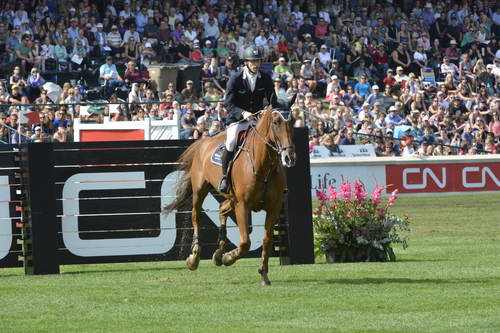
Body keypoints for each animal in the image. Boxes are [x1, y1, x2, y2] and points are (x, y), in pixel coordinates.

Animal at [164, 107, 296, 286]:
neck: (263, 165)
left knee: (222, 209)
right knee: (196, 216)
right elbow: (245, 242)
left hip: (232, 199)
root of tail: (204, 141)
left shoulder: (273, 207)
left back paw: (219, 253)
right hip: (200, 191)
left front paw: (263, 274)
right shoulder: (243, 205)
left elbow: (267, 240)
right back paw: (195, 257)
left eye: (292, 122)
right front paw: (229, 257)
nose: (290, 157)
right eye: (276, 122)